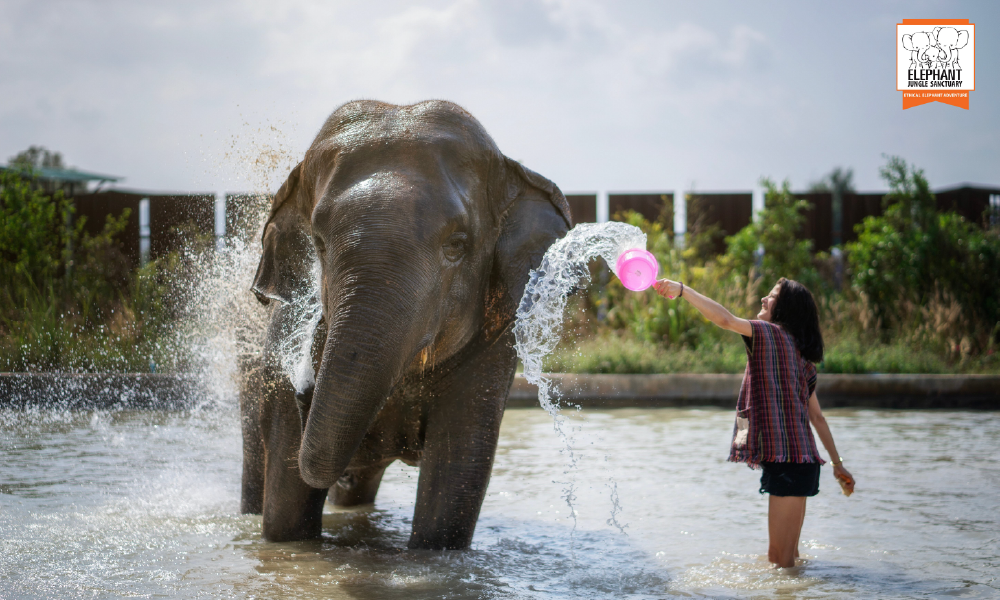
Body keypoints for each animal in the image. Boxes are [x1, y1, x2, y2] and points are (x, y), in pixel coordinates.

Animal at [238, 99, 571, 550]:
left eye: (457, 245)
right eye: (319, 245)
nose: (303, 384)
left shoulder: (492, 348)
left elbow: (456, 479)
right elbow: (286, 517)